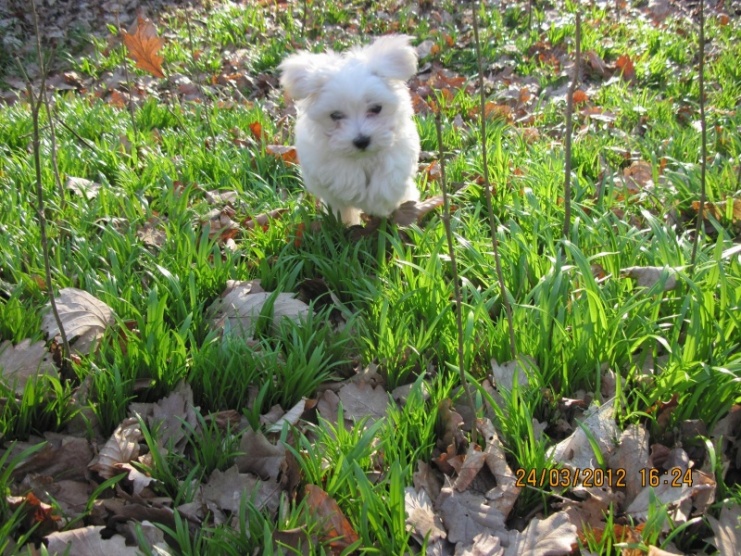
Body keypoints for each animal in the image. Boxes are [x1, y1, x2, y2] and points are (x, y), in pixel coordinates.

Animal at [279, 35, 420, 226]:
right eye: (336, 115)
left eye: (376, 108)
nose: (362, 141)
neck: (363, 158)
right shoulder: (325, 165)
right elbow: (345, 178)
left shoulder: (399, 151)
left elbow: (389, 175)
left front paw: (381, 202)